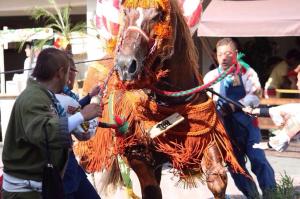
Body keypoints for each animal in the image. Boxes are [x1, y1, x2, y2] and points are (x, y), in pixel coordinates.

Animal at [76, 0, 247, 198]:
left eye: (158, 15)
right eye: (125, 12)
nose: (125, 65)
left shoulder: (204, 137)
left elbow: (217, 179)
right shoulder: (138, 154)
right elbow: (151, 189)